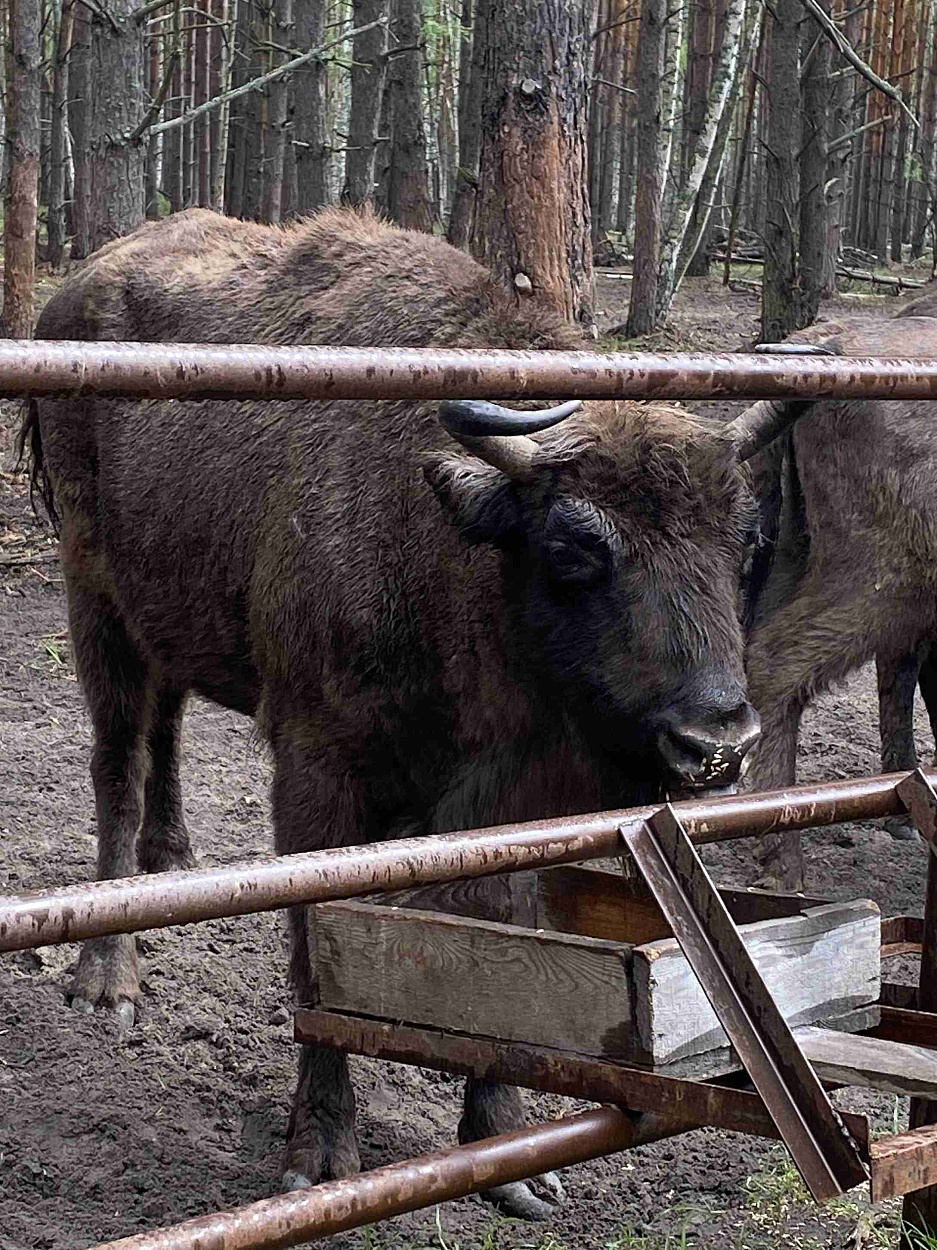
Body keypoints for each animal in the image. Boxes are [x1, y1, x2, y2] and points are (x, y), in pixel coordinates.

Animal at [20, 210, 784, 1215]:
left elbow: (503, 935)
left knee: (167, 727)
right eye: (574, 547)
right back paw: (108, 981)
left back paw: (175, 864)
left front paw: (507, 1157)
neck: (448, 542)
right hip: (95, 599)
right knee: (120, 760)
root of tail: (75, 287)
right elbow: (319, 960)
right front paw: (318, 1155)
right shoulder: (318, 776)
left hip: (167, 608)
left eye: (746, 541)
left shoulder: (513, 809)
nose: (716, 745)